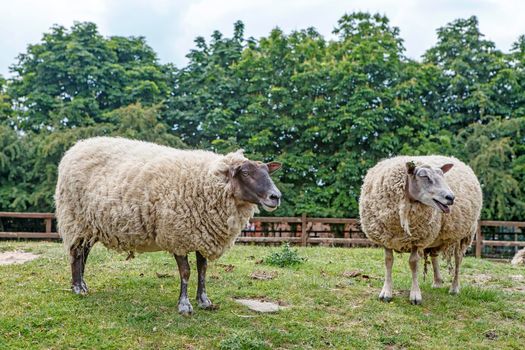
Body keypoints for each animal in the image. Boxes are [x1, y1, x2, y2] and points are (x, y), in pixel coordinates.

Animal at [54, 137, 280, 314]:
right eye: (245, 173)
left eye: (268, 172)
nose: (276, 196)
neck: (208, 182)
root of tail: (75, 148)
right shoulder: (177, 234)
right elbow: (186, 272)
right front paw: (184, 305)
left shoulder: (203, 235)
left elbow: (203, 270)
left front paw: (204, 301)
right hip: (75, 219)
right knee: (76, 253)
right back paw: (78, 288)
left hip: (89, 225)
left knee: (83, 253)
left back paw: (81, 284)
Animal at [358, 155, 482, 304]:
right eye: (424, 176)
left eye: (443, 176)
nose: (451, 197)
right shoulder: (386, 237)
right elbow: (388, 261)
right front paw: (386, 293)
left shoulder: (417, 239)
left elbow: (413, 263)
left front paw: (415, 295)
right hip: (436, 236)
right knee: (434, 256)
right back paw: (437, 282)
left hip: (464, 233)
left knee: (458, 258)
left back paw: (454, 288)